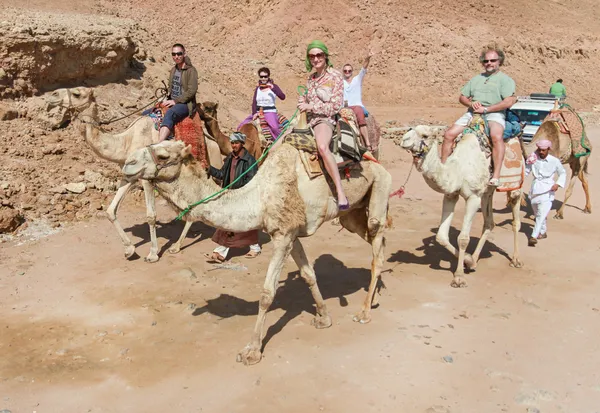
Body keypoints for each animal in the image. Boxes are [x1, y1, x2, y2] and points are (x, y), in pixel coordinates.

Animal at [122, 139, 394, 364]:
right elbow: (308, 274)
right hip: (352, 214)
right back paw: (375, 296)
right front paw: (324, 318)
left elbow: (266, 293)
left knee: (377, 245)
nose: (127, 164)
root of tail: (378, 163)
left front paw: (251, 350)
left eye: (163, 155)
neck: (258, 198)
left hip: (380, 188)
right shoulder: (291, 234)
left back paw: (364, 311)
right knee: (375, 240)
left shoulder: (283, 236)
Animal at [398, 124, 524, 286]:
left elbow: (463, 239)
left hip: (514, 184)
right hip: (486, 192)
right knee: (489, 222)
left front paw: (458, 277)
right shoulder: (451, 195)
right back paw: (475, 259)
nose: (404, 140)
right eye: (410, 129)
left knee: (515, 218)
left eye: (425, 135)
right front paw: (469, 261)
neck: (458, 169)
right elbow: (441, 236)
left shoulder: (473, 197)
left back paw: (516, 259)